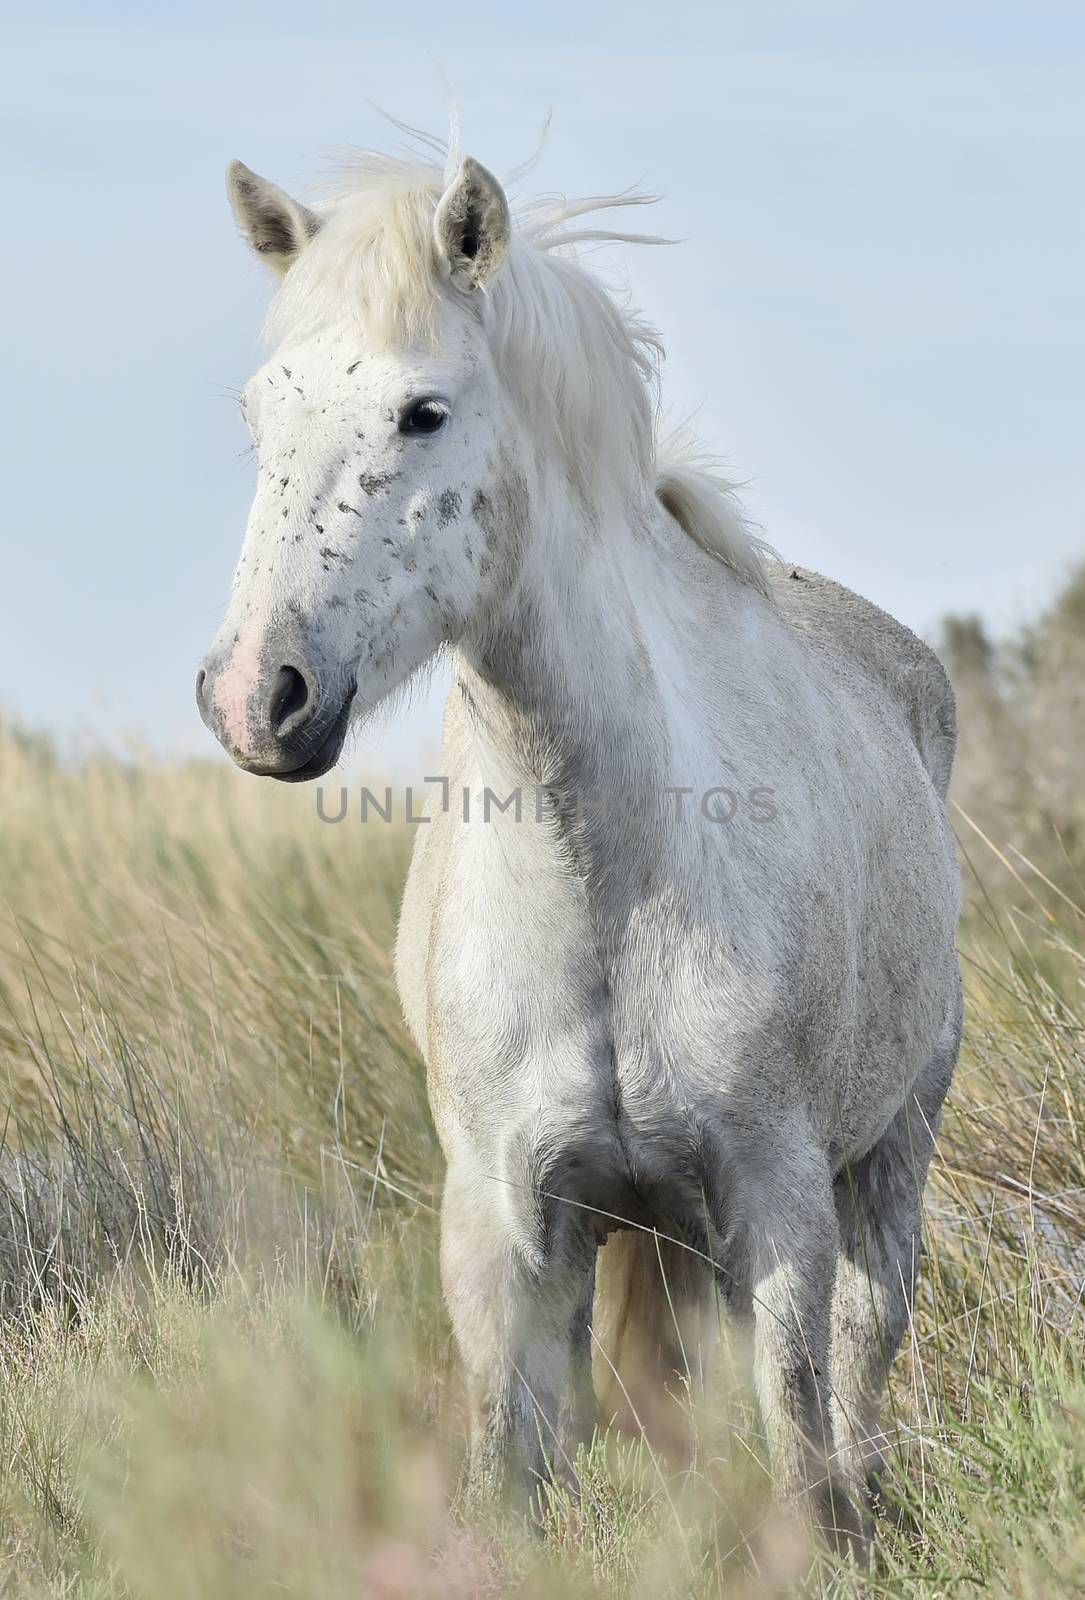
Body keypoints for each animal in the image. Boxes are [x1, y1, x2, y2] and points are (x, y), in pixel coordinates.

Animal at [200, 140, 966, 1548]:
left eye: (424, 412)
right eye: (260, 415)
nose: (253, 698)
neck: (607, 875)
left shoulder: (776, 1204)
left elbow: (796, 1431)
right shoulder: (506, 1227)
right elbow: (515, 1463)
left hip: (887, 1153)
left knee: (861, 1351)